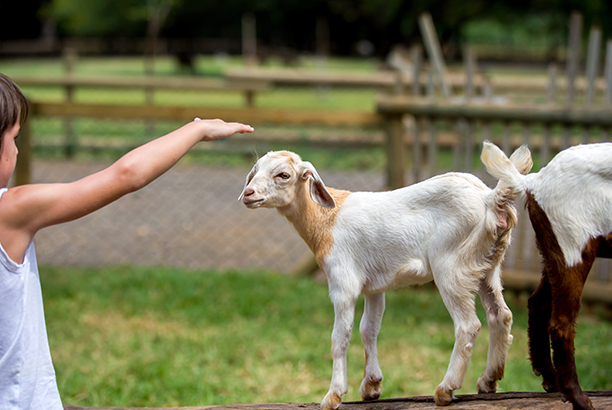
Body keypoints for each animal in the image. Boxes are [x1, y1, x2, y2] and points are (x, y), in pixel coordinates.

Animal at [238, 151, 532, 410]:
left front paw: (333, 395)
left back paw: (445, 389)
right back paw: (488, 380)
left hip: (452, 267)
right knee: (500, 315)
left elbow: (339, 337)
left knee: (468, 325)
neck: (326, 220)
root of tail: (489, 199)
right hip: (487, 268)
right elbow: (369, 329)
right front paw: (371, 385)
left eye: (283, 175)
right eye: (255, 171)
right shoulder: (374, 287)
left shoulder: (343, 283)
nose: (249, 194)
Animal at [482, 142, 612, 410]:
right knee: (560, 323)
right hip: (573, 245)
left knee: (538, 304)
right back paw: (580, 399)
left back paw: (551, 379)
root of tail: (536, 181)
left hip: (553, 252)